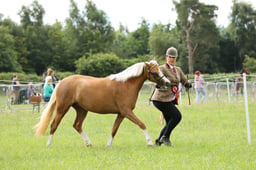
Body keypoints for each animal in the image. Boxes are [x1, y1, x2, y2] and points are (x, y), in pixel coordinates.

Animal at [34, 60, 170, 147]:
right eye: (155, 72)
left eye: (159, 70)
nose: (167, 83)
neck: (126, 84)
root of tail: (62, 82)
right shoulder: (127, 111)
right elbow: (142, 124)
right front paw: (150, 142)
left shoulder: (121, 114)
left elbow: (114, 129)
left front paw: (109, 145)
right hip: (62, 108)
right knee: (54, 125)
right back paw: (49, 144)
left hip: (82, 110)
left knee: (77, 125)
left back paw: (88, 143)